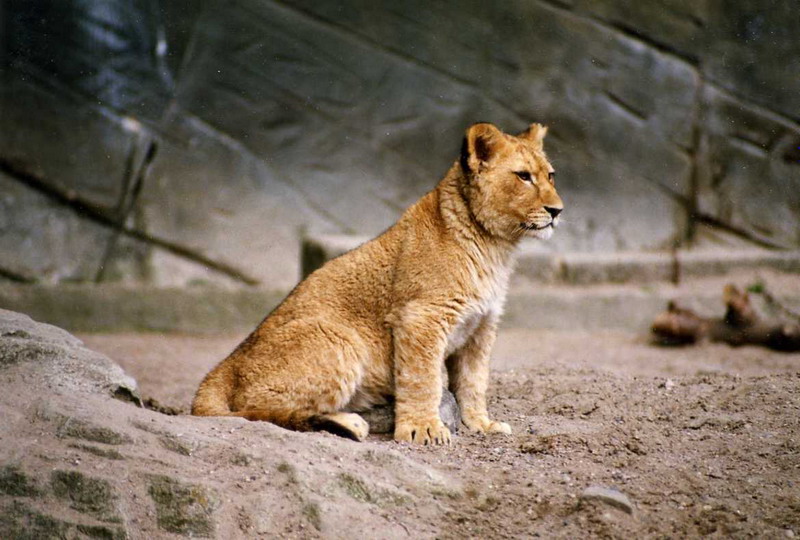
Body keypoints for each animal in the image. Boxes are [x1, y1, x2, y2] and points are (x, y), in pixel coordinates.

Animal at [192, 122, 563, 445]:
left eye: (550, 175)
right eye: (523, 177)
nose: (557, 211)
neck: (495, 248)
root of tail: (225, 365)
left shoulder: (481, 327)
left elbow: (474, 382)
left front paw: (481, 424)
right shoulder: (420, 318)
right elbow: (422, 378)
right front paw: (423, 430)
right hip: (337, 338)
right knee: (259, 410)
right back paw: (350, 423)